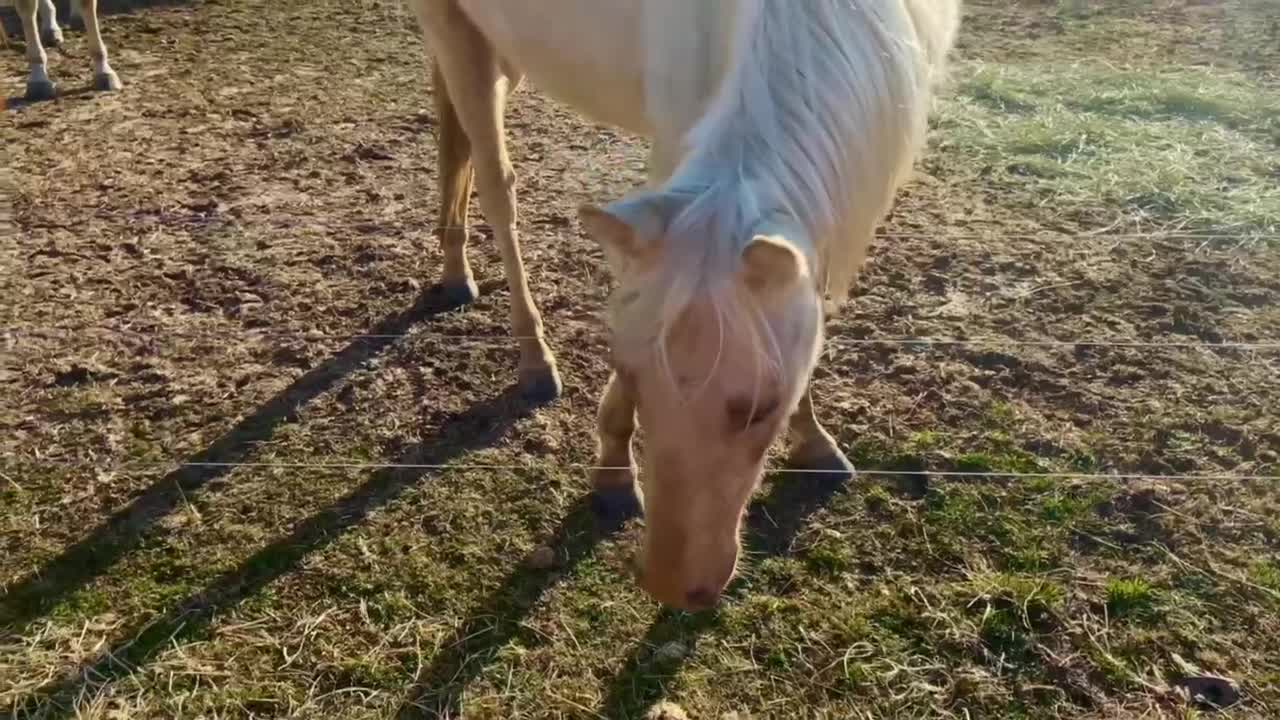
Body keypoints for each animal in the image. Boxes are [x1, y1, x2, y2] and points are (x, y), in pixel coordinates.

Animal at [409, 0, 962, 607]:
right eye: (630, 375)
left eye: (762, 408)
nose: (671, 586)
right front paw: (613, 472)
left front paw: (813, 440)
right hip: (452, 28)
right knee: (495, 185)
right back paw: (532, 357)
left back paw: (455, 272)